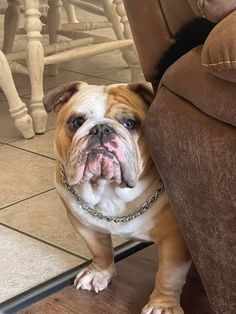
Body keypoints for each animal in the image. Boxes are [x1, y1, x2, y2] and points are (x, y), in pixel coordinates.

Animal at [44, 81, 191, 314]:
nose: (102, 129)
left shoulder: (175, 239)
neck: (108, 190)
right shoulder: (85, 226)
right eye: (77, 121)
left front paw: (162, 305)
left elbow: (169, 274)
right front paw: (99, 273)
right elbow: (100, 250)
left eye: (130, 123)